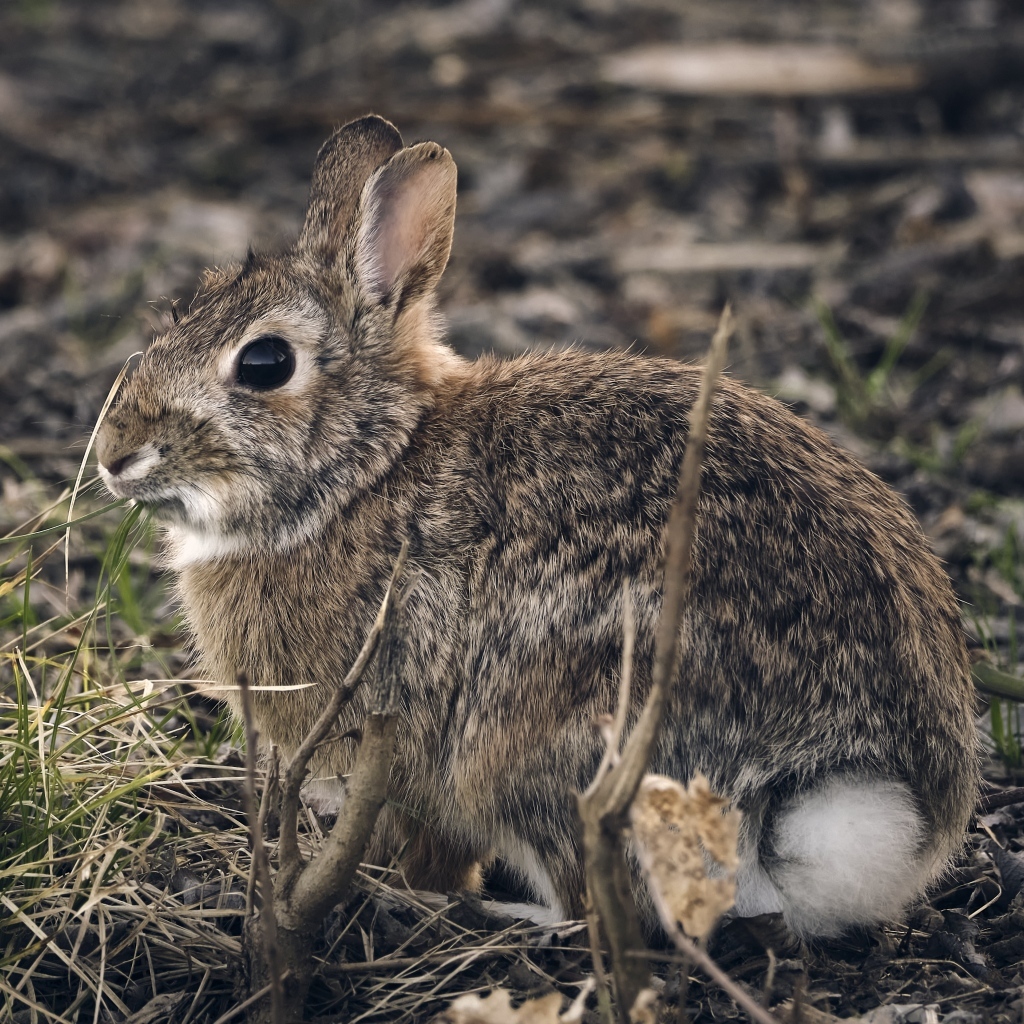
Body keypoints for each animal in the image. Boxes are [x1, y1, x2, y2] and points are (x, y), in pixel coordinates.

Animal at [95, 114, 979, 940]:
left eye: (265, 364)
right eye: (182, 310)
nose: (113, 455)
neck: (368, 469)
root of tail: (835, 790)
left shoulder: (394, 748)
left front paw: (388, 883)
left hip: (536, 746)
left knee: (593, 905)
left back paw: (478, 913)